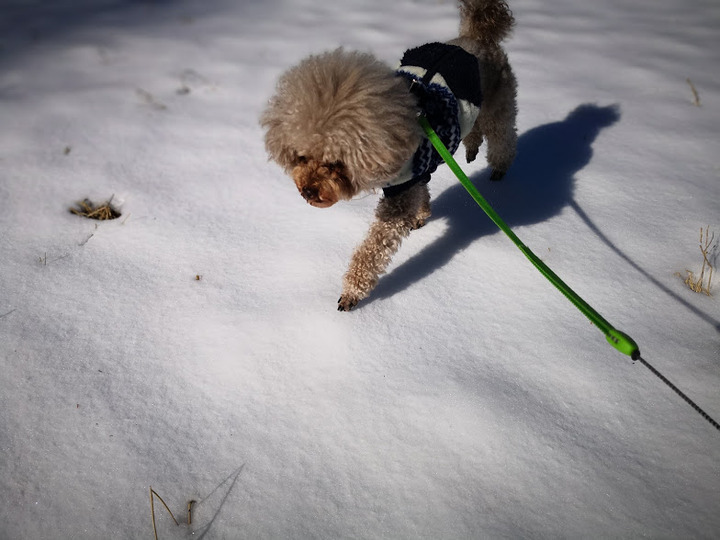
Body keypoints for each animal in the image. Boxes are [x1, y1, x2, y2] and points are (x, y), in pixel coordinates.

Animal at [262, 0, 516, 310]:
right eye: (301, 157)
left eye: (335, 163)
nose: (307, 191)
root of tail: (477, 37)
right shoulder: (413, 177)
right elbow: (421, 195)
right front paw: (421, 215)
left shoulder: (401, 192)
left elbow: (373, 248)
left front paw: (352, 292)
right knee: (477, 129)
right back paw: (471, 148)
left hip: (499, 102)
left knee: (503, 134)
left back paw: (499, 167)